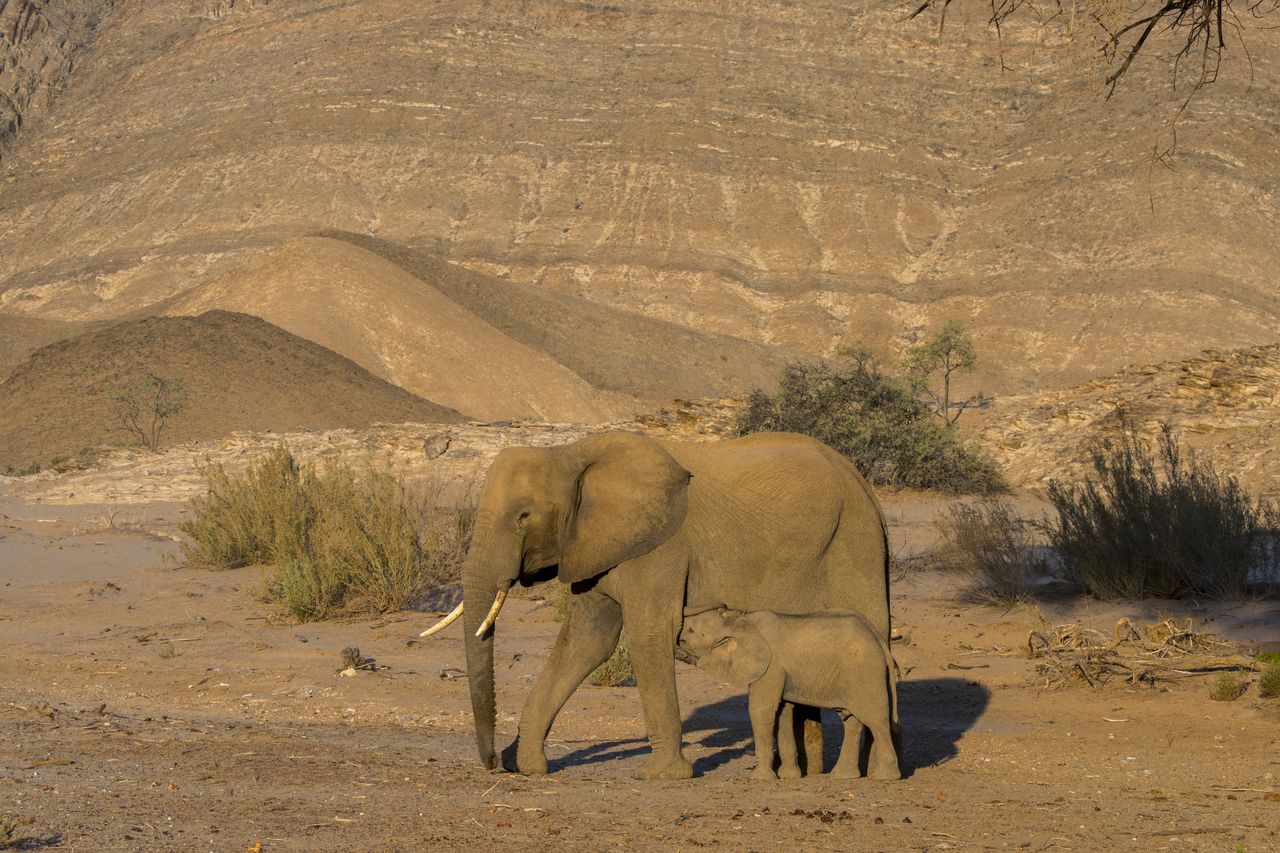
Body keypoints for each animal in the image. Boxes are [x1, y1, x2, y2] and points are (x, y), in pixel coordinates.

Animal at [680, 604, 901, 778]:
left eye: (691, 631)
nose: (678, 640)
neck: (740, 621)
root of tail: (879, 640)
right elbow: (783, 712)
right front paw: (789, 776)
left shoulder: (771, 667)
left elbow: (761, 711)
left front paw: (759, 778)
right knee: (852, 720)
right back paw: (842, 776)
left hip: (865, 672)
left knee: (877, 721)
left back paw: (884, 777)